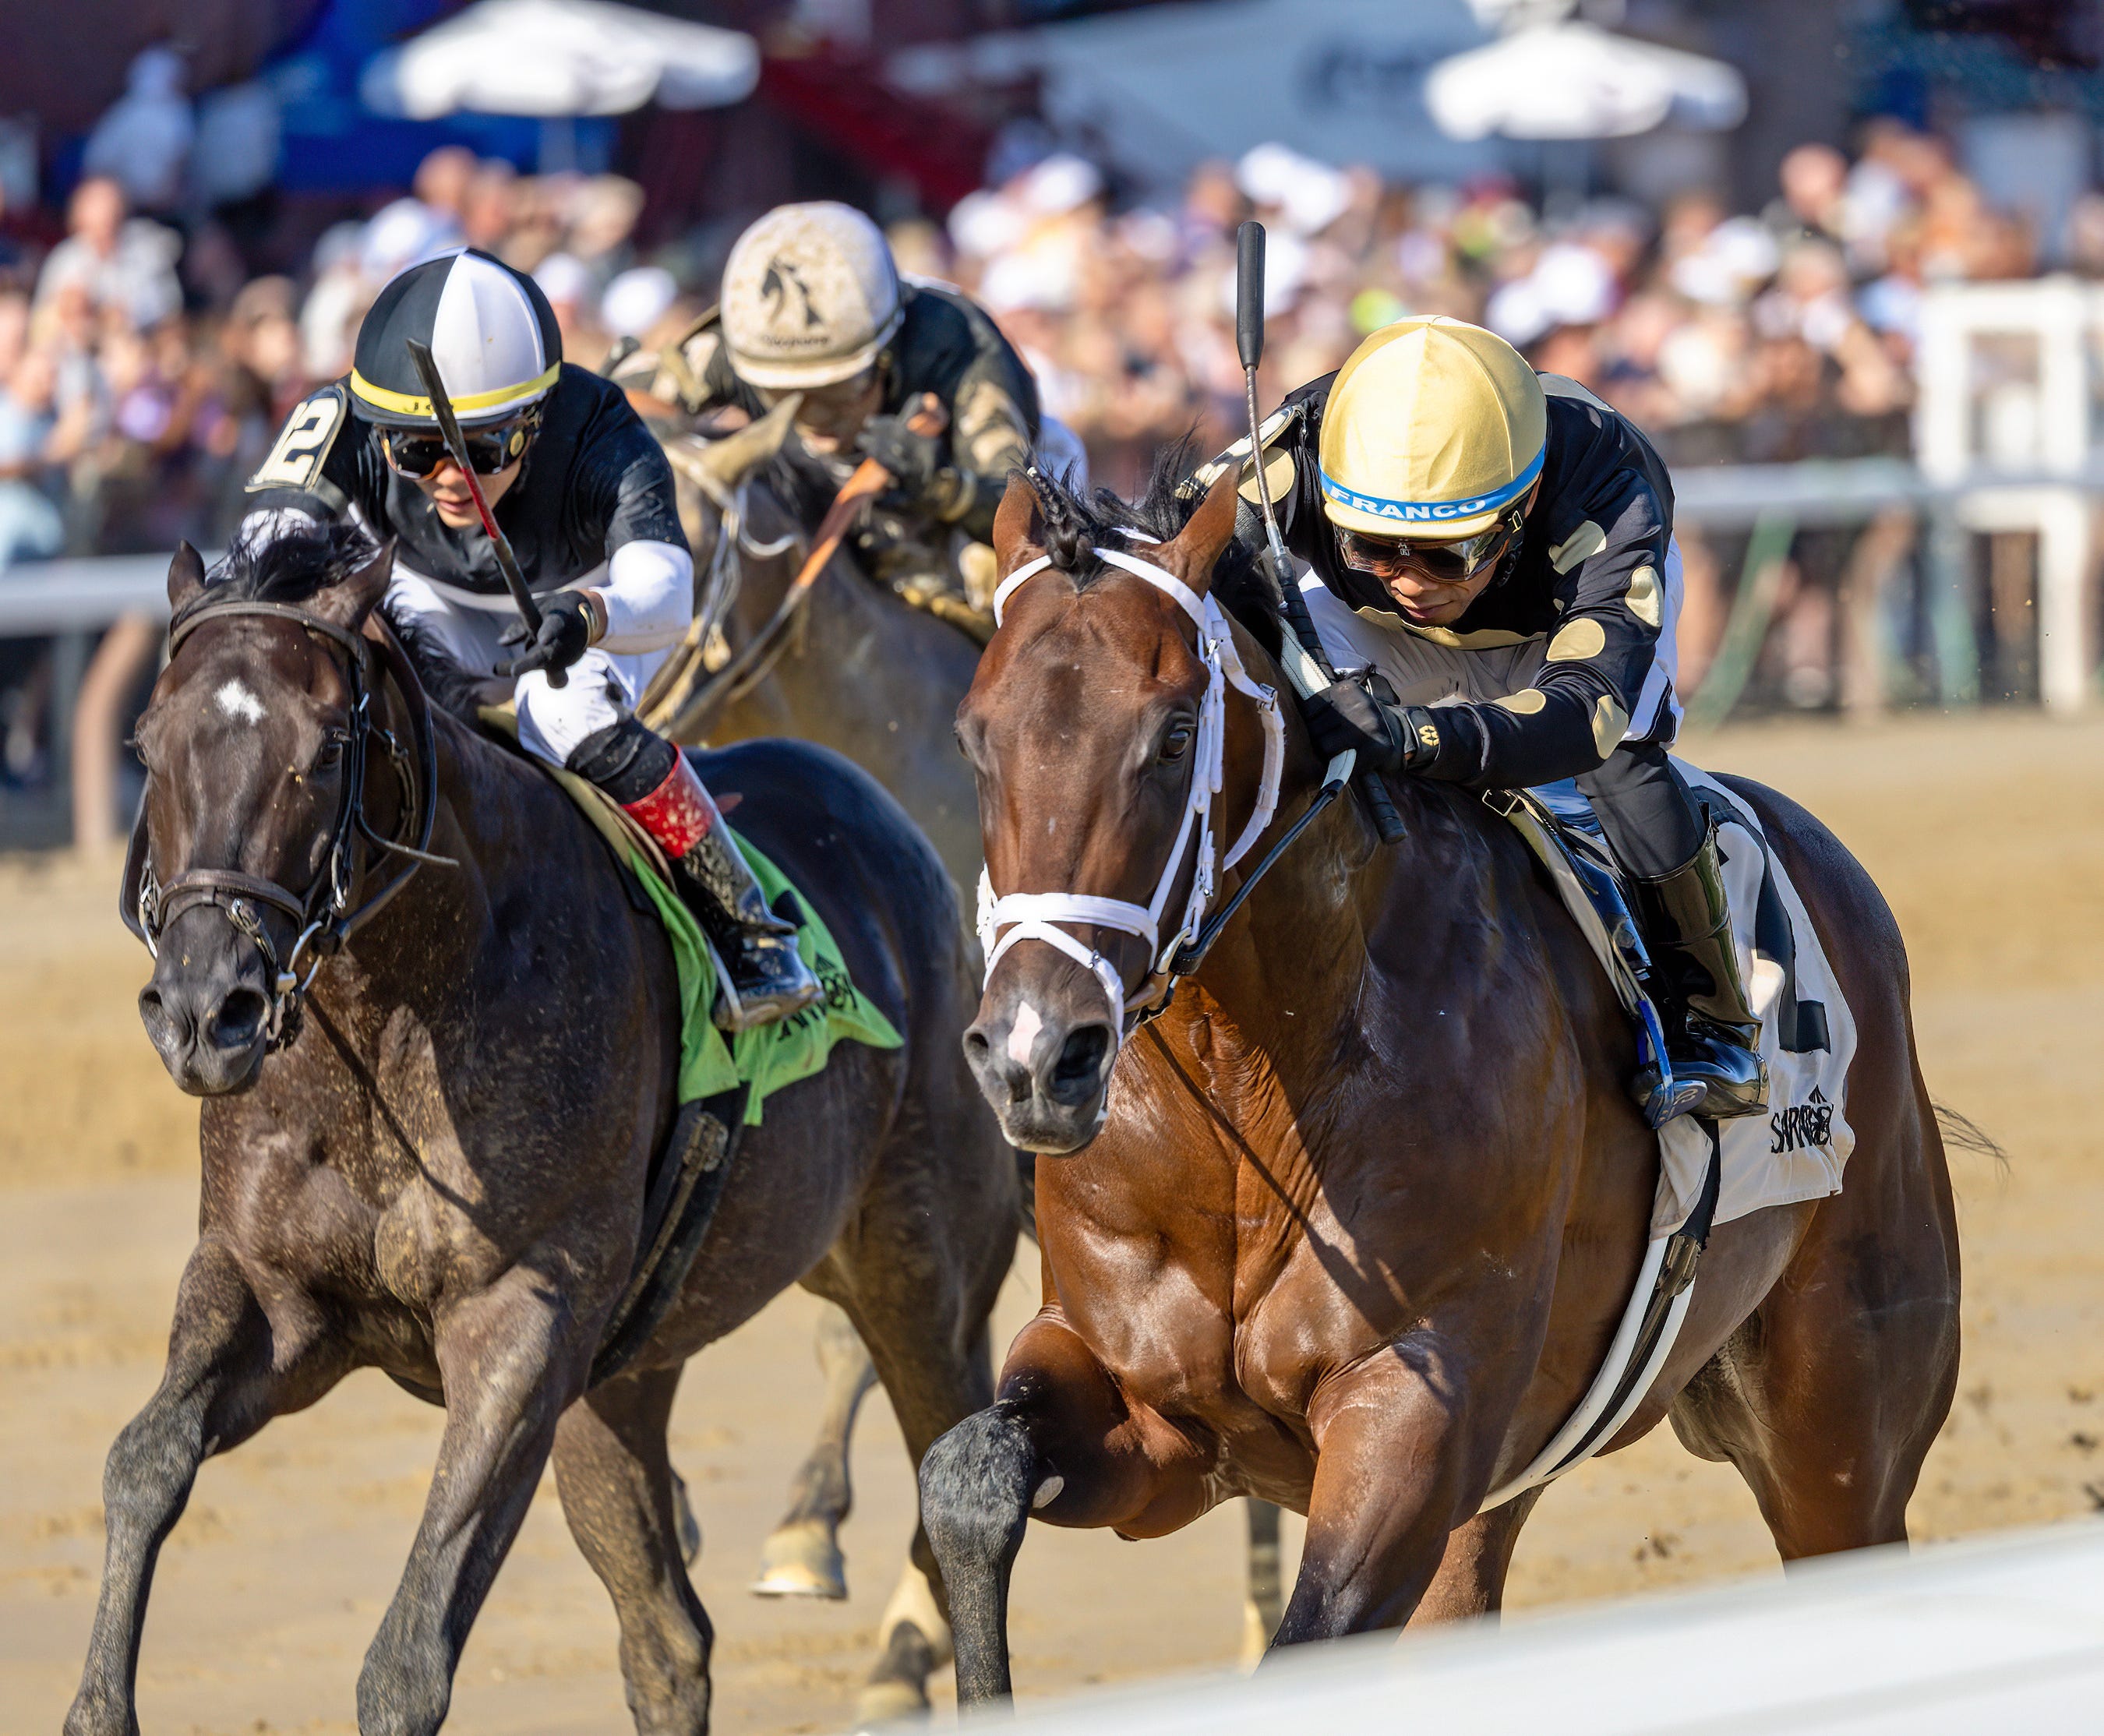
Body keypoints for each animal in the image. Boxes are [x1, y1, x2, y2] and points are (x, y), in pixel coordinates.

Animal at [65, 528, 1018, 1734]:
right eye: (145, 744)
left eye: (326, 748)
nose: (204, 1008)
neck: (398, 1020)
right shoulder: (269, 1288)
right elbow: (142, 1460)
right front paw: (98, 1704)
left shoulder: (521, 1317)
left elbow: (408, 1656)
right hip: (630, 1372)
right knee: (668, 1638)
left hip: (923, 1279)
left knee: (948, 1498)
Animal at [913, 467, 1961, 1700]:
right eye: (975, 735)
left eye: (1173, 736)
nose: (1039, 1053)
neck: (1249, 1102)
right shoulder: (1148, 1413)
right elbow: (967, 1478)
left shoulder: (1413, 1411)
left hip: (1840, 1437)